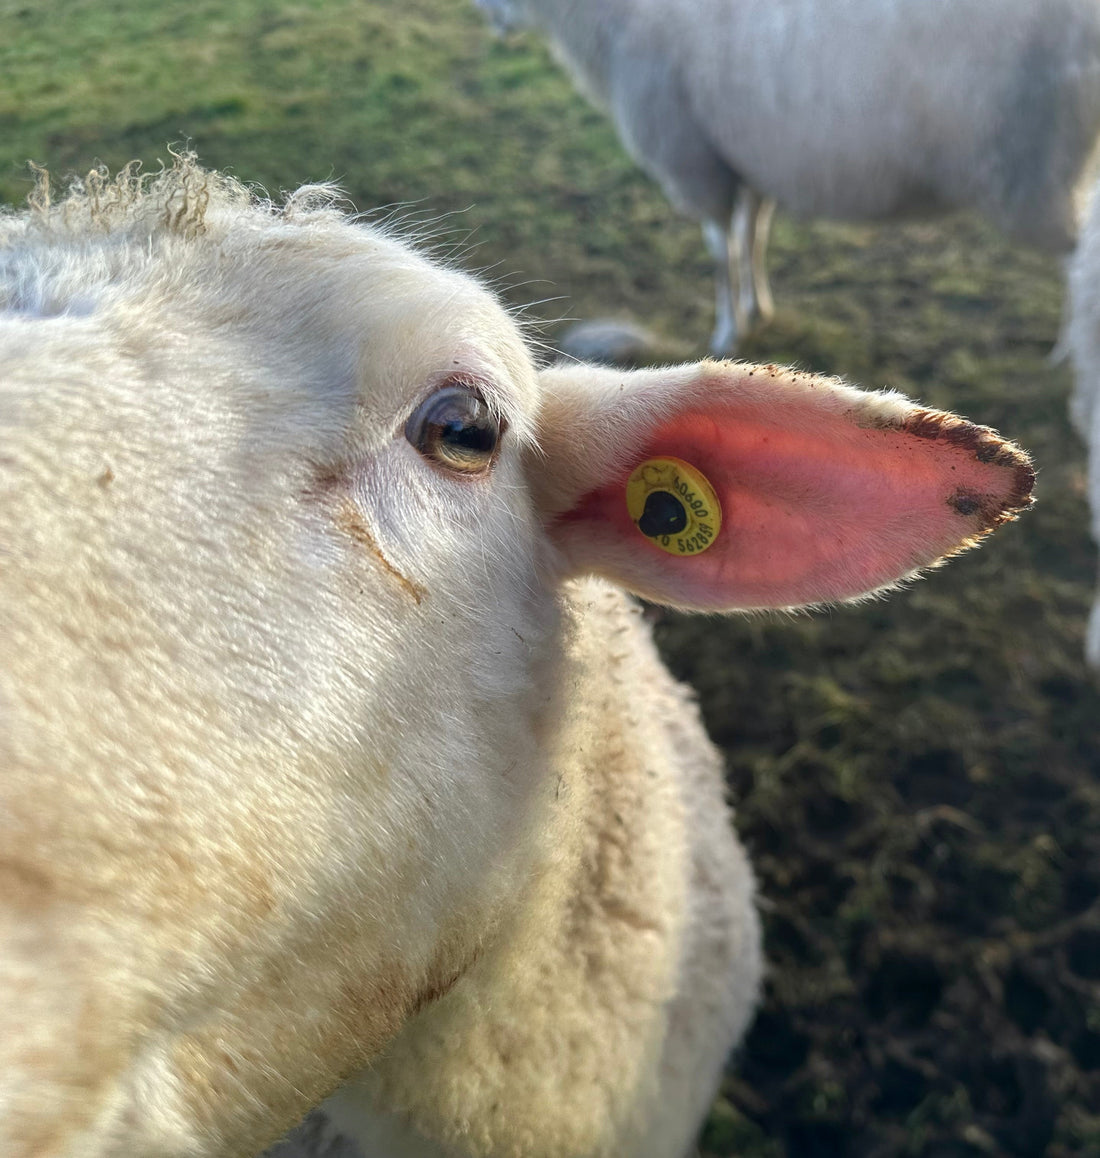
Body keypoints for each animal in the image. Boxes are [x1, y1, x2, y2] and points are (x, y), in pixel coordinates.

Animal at [474, 0, 1100, 356]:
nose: (488, 16)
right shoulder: (744, 157)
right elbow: (753, 236)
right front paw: (759, 311)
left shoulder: (694, 159)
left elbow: (720, 251)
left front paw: (727, 333)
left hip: (1030, 165)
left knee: (1077, 263)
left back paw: (1066, 354)